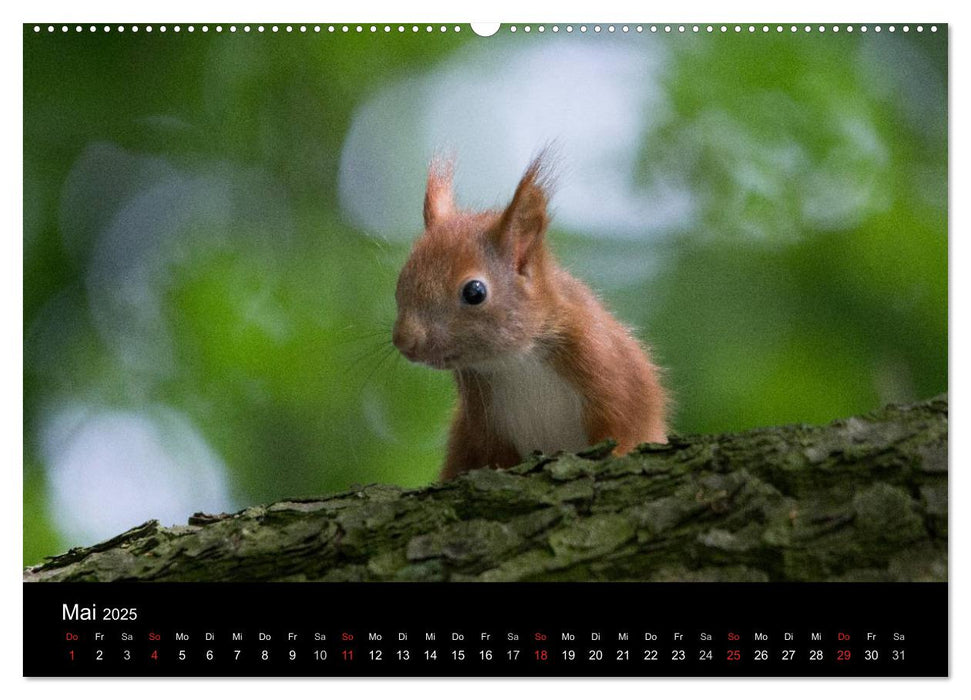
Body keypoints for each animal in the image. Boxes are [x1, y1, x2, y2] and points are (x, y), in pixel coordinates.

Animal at [390, 151, 668, 482]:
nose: (404, 340)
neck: (515, 359)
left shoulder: (612, 373)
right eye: (401, 281)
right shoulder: (487, 427)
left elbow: (624, 432)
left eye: (474, 292)